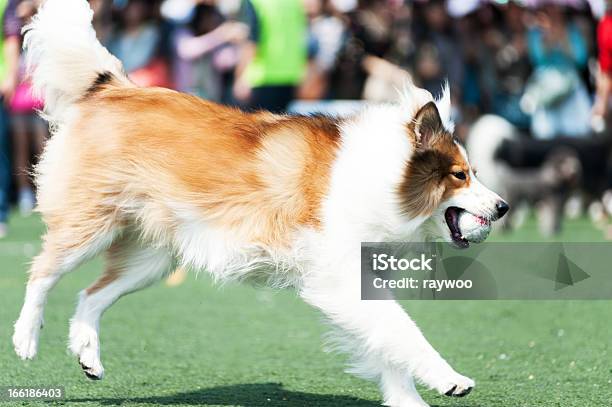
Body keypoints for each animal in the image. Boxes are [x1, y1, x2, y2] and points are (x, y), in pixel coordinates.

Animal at [13, 1, 506, 406]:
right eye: (460, 175)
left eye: (473, 171)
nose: (502, 208)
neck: (381, 177)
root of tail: (111, 87)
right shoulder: (340, 278)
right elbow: (403, 331)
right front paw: (449, 379)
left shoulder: (358, 284)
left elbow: (387, 345)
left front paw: (408, 401)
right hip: (89, 224)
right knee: (41, 272)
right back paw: (25, 339)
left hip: (152, 258)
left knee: (90, 294)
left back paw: (87, 354)